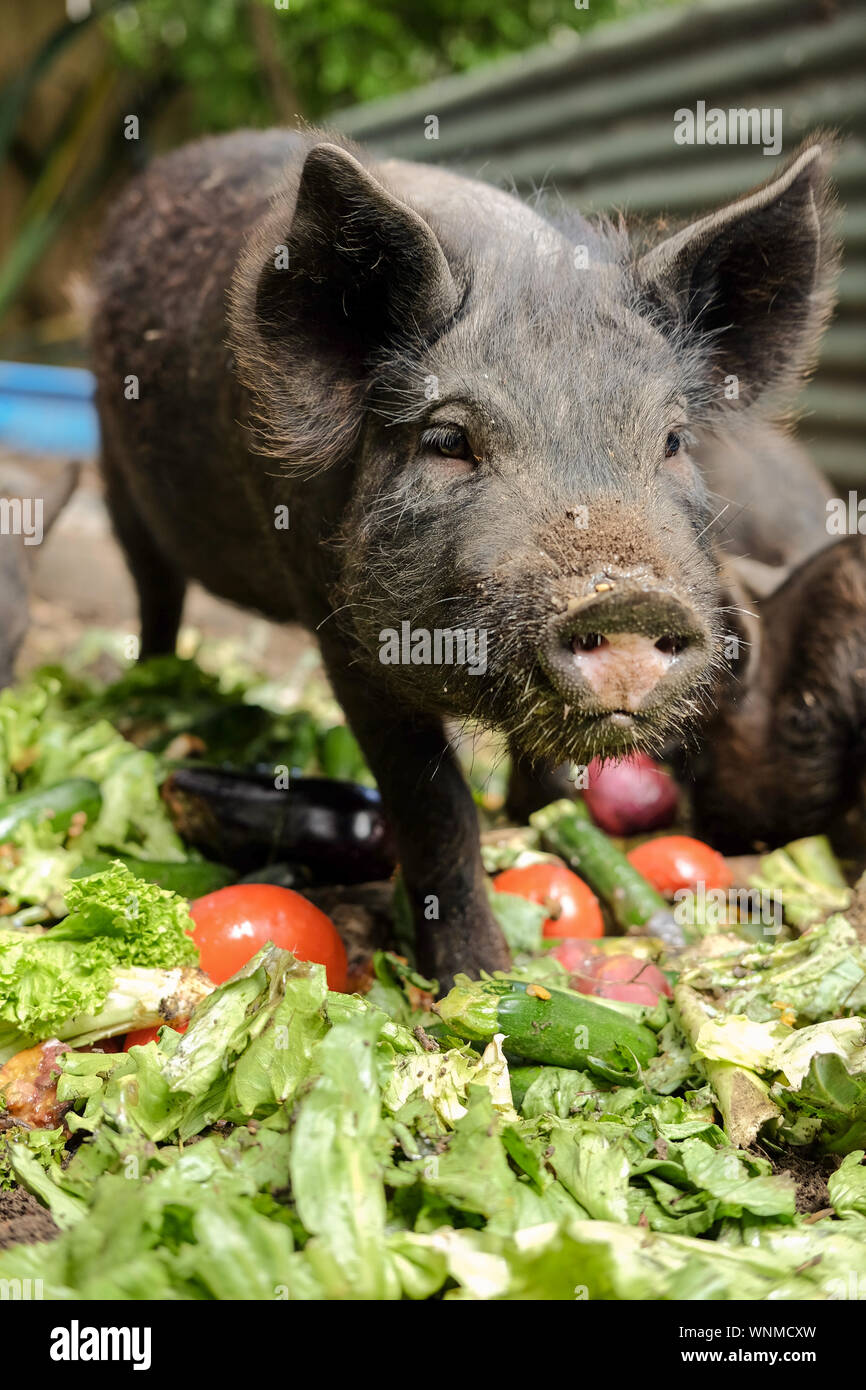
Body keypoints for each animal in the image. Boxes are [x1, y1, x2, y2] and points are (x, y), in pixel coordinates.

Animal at [90, 129, 840, 982]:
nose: (627, 598)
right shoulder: (339, 624)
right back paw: (145, 699)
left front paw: (541, 828)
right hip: (112, 466)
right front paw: (477, 980)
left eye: (674, 441)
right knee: (154, 593)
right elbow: (434, 804)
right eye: (448, 440)